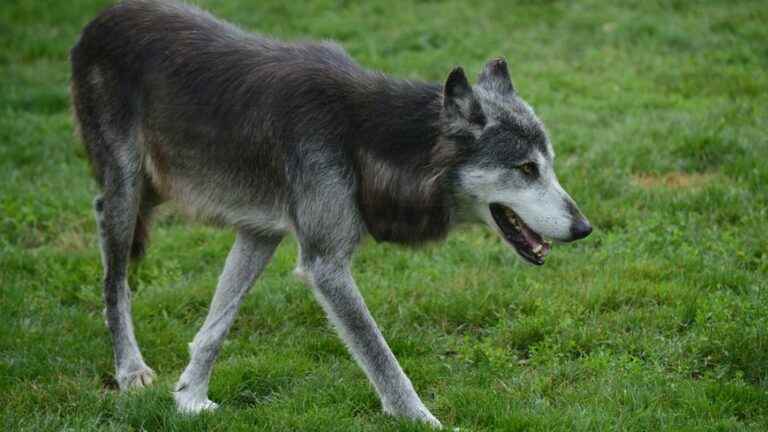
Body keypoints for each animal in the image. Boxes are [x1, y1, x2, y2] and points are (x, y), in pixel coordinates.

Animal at [69, 0, 592, 426]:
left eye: (550, 165)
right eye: (526, 169)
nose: (585, 228)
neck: (362, 135)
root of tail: (99, 19)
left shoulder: (260, 232)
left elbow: (215, 325)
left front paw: (189, 399)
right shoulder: (325, 265)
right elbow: (383, 359)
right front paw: (422, 420)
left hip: (159, 189)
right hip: (129, 187)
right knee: (113, 272)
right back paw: (129, 369)